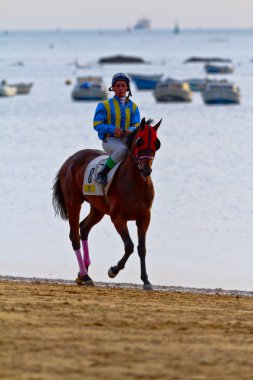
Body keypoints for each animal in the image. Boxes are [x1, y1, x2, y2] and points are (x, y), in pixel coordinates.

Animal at [52, 117, 161, 290]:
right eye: (140, 141)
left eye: (157, 143)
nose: (146, 171)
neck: (135, 183)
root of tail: (69, 160)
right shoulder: (118, 218)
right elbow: (129, 246)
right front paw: (113, 270)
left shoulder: (144, 218)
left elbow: (141, 248)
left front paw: (145, 280)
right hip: (73, 202)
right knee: (75, 235)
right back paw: (86, 275)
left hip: (98, 209)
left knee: (84, 228)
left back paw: (82, 271)